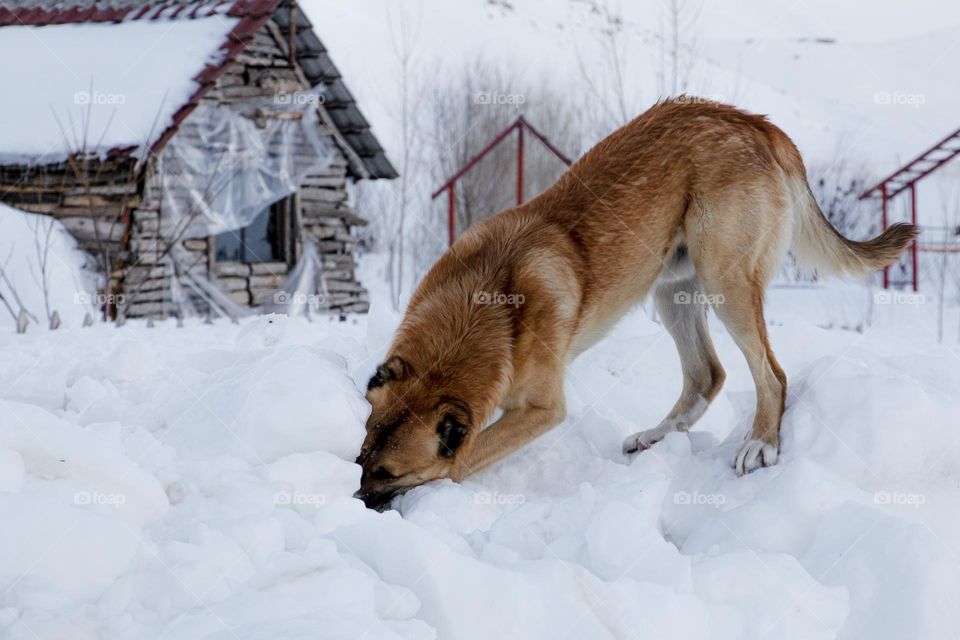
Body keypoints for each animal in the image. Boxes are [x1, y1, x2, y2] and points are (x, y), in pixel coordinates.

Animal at [354, 97, 916, 510]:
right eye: (359, 459)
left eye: (388, 472)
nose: (354, 501)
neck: (481, 310)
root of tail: (753, 122)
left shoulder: (541, 408)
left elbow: (460, 461)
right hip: (675, 291)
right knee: (707, 374)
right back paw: (654, 437)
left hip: (726, 280)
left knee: (771, 376)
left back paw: (760, 443)